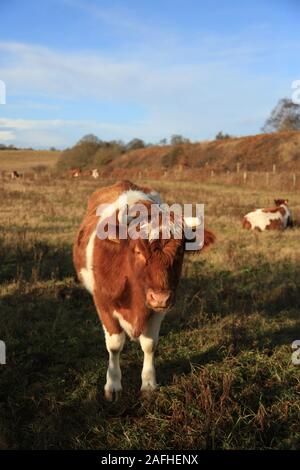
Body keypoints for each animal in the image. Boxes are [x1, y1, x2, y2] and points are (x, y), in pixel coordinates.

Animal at [72, 180, 214, 400]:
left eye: (180, 251)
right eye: (138, 251)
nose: (160, 297)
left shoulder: (159, 309)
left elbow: (149, 345)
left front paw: (148, 384)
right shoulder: (103, 303)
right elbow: (114, 345)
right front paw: (113, 384)